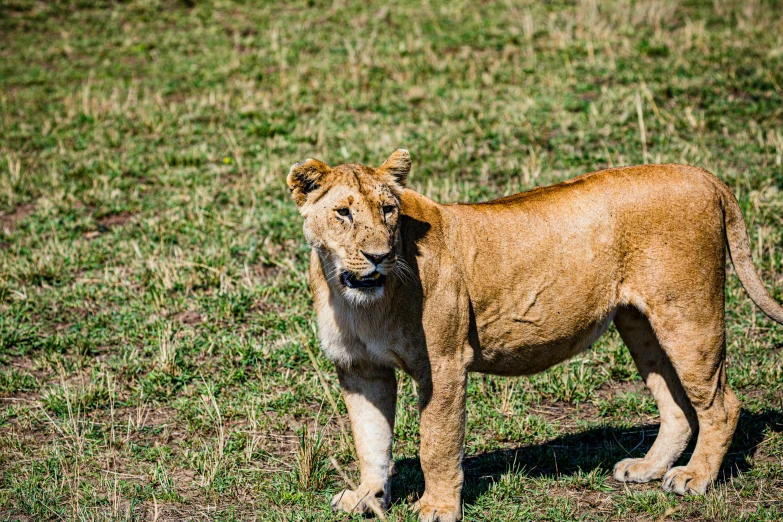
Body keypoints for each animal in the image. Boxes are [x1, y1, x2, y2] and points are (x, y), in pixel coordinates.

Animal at [286, 148, 783, 516]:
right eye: (343, 213)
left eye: (389, 210)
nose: (379, 256)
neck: (358, 298)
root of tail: (702, 175)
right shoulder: (360, 369)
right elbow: (370, 440)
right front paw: (365, 498)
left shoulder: (443, 364)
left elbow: (437, 442)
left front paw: (438, 507)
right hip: (640, 325)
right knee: (677, 405)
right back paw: (647, 468)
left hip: (688, 315)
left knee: (722, 404)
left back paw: (694, 478)